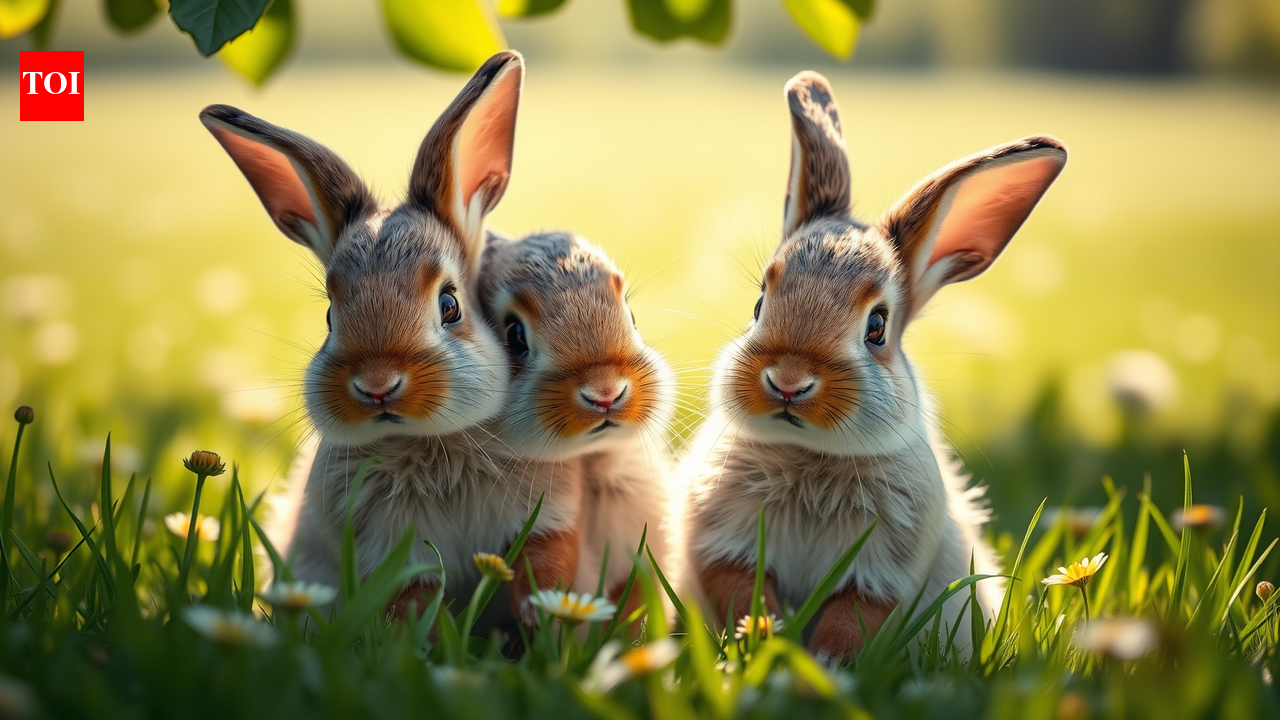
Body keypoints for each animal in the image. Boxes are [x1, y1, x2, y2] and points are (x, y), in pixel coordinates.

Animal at [682, 70, 1067, 663]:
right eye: (759, 304)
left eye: (877, 327)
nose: (787, 383)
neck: (810, 455)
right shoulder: (722, 540)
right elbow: (741, 590)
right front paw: (765, 640)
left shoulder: (884, 572)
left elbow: (854, 619)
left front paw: (819, 665)